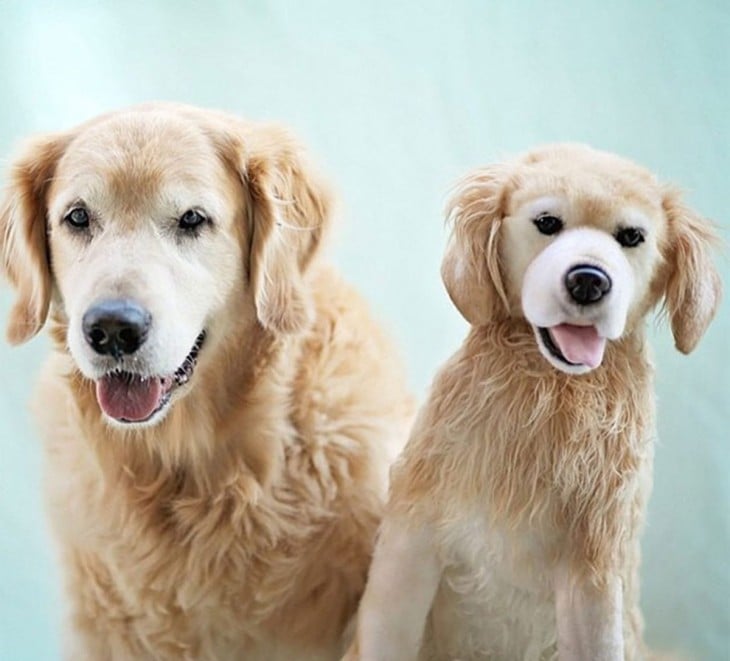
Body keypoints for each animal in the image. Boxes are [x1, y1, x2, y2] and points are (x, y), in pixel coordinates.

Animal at [344, 146, 720, 660]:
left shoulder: (592, 573)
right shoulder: (411, 538)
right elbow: (386, 638)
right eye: (547, 222)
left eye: (632, 237)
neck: (549, 391)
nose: (588, 281)